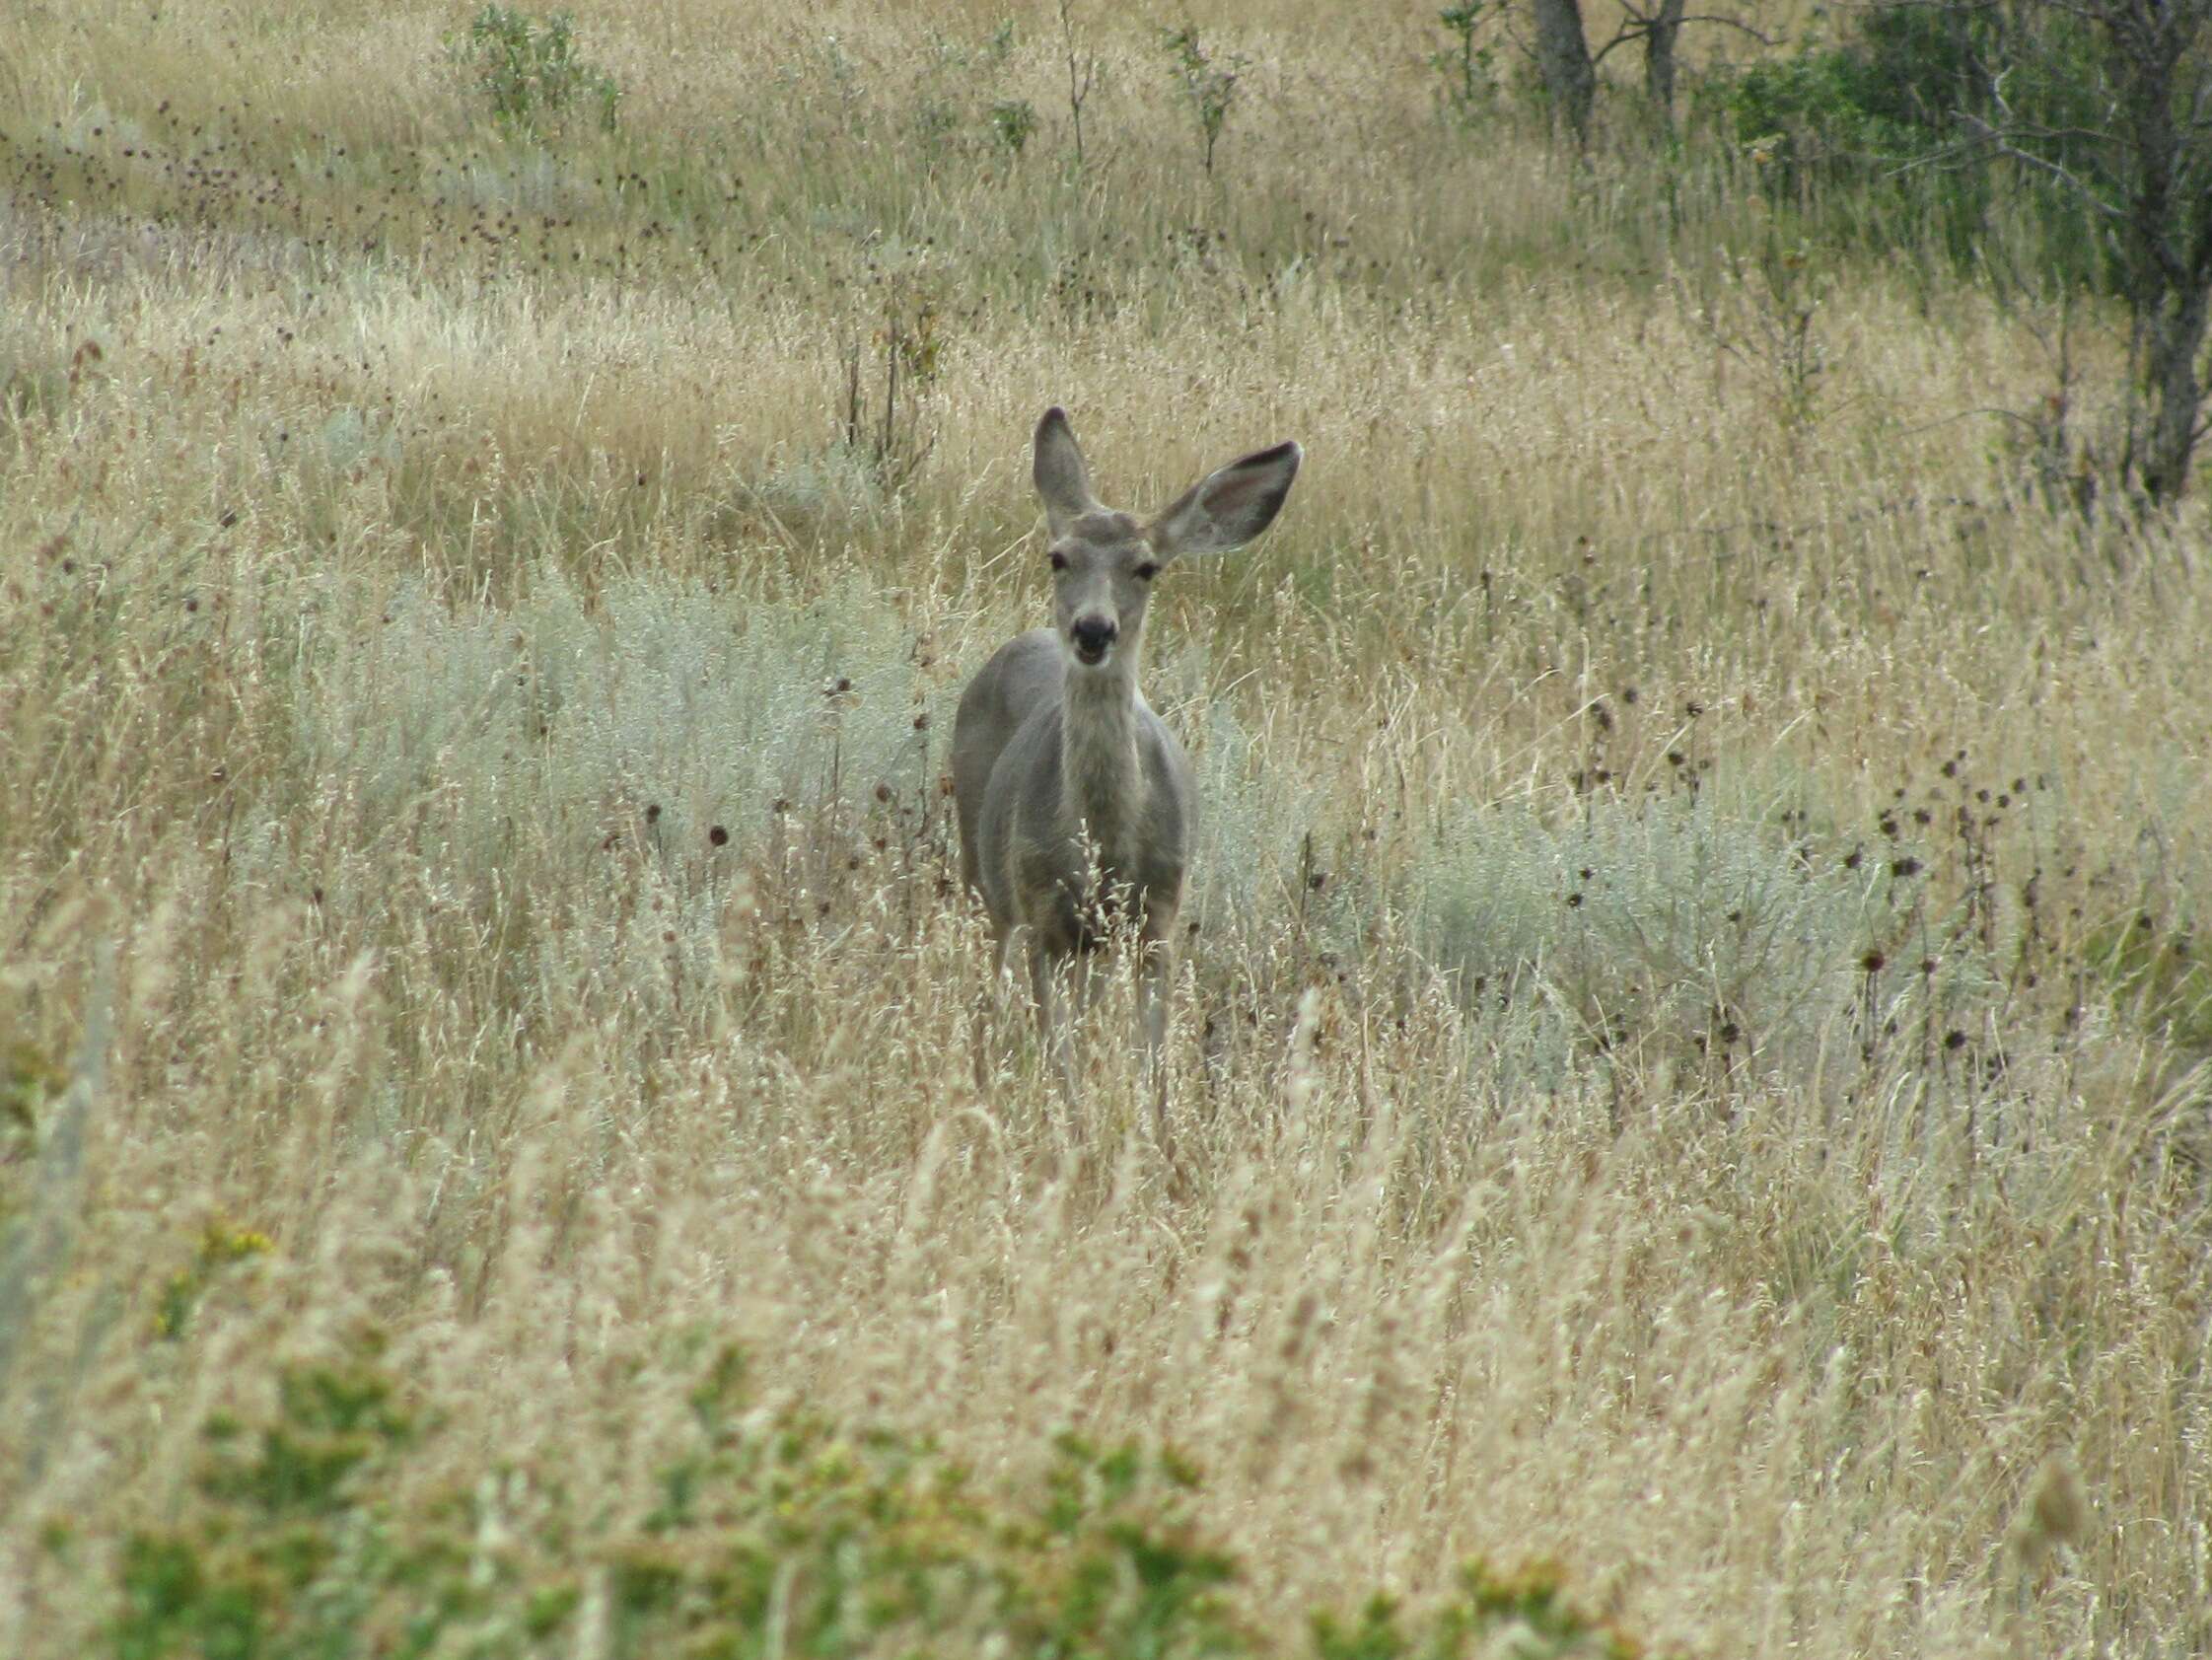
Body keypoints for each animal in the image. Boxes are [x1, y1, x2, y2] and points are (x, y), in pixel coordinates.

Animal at [951, 409, 1291, 1123]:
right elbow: (1057, 1054)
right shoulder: (1042, 909)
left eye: (1146, 567)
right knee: (990, 983)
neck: (1107, 844)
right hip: (983, 872)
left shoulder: (1160, 912)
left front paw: (1156, 1128)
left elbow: (1152, 1057)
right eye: (1058, 557)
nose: (1093, 629)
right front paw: (1070, 1124)